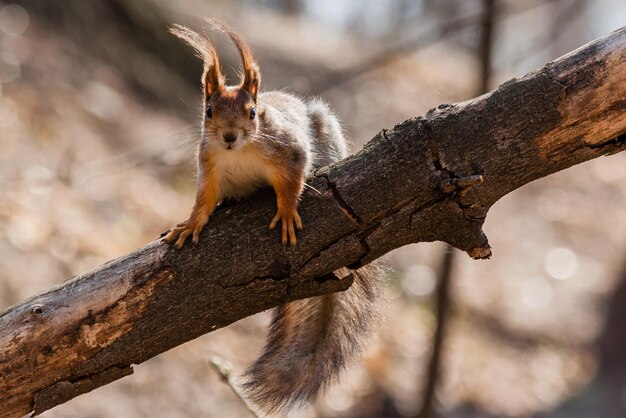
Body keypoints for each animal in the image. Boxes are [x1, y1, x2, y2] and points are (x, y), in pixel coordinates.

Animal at [161, 20, 376, 414]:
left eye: (252, 111)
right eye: (209, 111)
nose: (229, 136)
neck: (239, 152)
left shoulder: (288, 150)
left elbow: (293, 179)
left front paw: (288, 212)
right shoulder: (210, 166)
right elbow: (203, 200)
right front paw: (192, 222)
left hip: (326, 130)